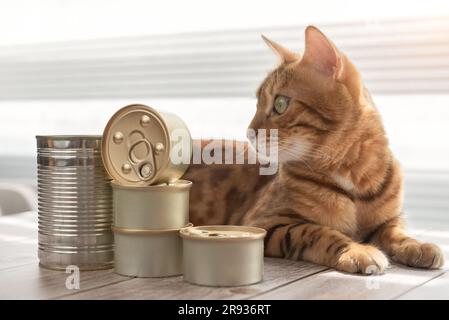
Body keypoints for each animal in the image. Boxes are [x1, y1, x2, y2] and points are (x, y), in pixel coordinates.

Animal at [183, 26, 444, 274]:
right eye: (257, 104)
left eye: (280, 104)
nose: (249, 132)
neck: (354, 175)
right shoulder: (263, 221)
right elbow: (319, 232)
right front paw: (356, 250)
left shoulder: (389, 219)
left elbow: (398, 232)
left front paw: (417, 245)